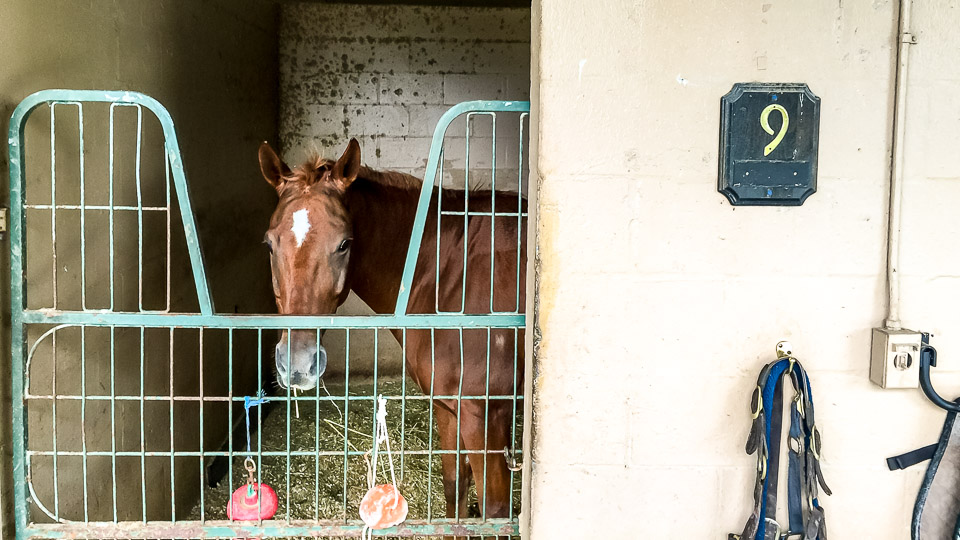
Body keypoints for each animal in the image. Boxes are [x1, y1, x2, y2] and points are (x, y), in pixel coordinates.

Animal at [256, 139, 524, 524]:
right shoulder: (450, 408)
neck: (448, 273)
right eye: (269, 244)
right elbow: (454, 489)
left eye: (344, 243)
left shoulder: (486, 416)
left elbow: (495, 510)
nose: (298, 364)